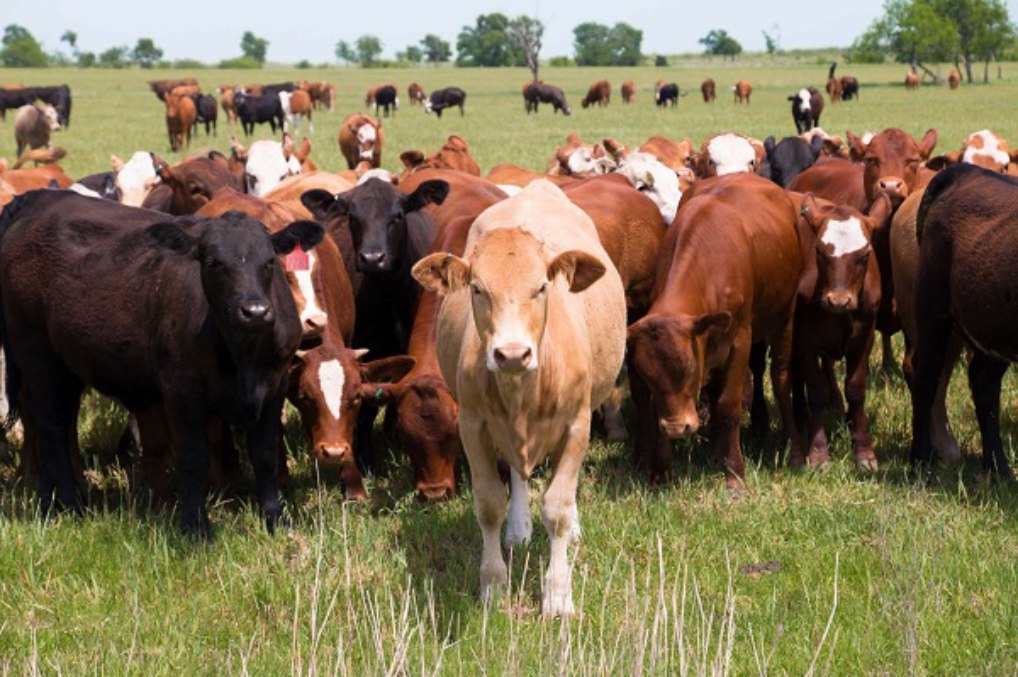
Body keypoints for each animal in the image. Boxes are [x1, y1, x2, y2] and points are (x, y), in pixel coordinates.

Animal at [0, 190, 324, 535]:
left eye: (270, 261)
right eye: (213, 262)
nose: (255, 311)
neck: (242, 357)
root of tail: (45, 199)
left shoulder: (275, 384)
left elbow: (264, 455)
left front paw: (276, 519)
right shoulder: (181, 387)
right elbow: (193, 456)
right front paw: (195, 527)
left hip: (68, 361)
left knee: (57, 418)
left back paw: (51, 500)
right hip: (35, 349)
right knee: (50, 422)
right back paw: (69, 503)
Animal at [412, 179, 626, 617]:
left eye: (542, 287)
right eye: (477, 288)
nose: (511, 353)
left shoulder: (578, 424)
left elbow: (558, 507)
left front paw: (558, 594)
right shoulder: (472, 426)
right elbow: (489, 504)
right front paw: (493, 584)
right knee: (516, 472)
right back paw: (519, 527)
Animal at [626, 173, 803, 486]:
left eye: (688, 369)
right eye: (647, 377)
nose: (677, 428)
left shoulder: (740, 341)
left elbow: (728, 406)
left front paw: (735, 474)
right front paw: (661, 471)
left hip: (785, 315)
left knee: (781, 380)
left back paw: (793, 450)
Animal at [792, 193, 892, 469]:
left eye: (865, 255)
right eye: (819, 251)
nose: (838, 300)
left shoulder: (865, 336)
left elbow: (856, 390)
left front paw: (864, 451)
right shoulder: (805, 338)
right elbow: (816, 389)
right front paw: (817, 451)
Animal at [911, 164, 1018, 480]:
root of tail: (968, 170)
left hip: (992, 326)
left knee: (984, 384)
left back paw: (997, 469)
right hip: (932, 311)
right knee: (925, 379)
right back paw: (920, 463)